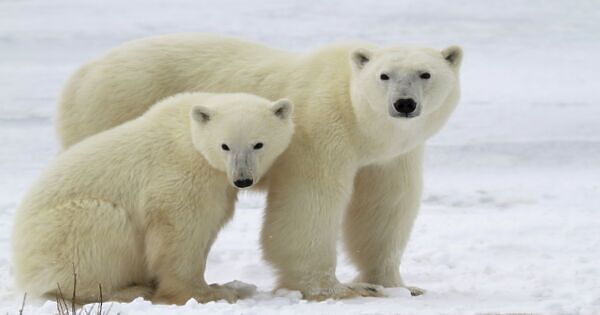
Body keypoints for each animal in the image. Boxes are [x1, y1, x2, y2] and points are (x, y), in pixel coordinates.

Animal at [56, 34, 462, 302]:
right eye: (384, 75)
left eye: (425, 73)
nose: (404, 104)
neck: (359, 122)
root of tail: (82, 73)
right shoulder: (320, 133)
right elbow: (310, 205)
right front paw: (336, 290)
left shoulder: (389, 157)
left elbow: (384, 209)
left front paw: (399, 285)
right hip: (115, 107)